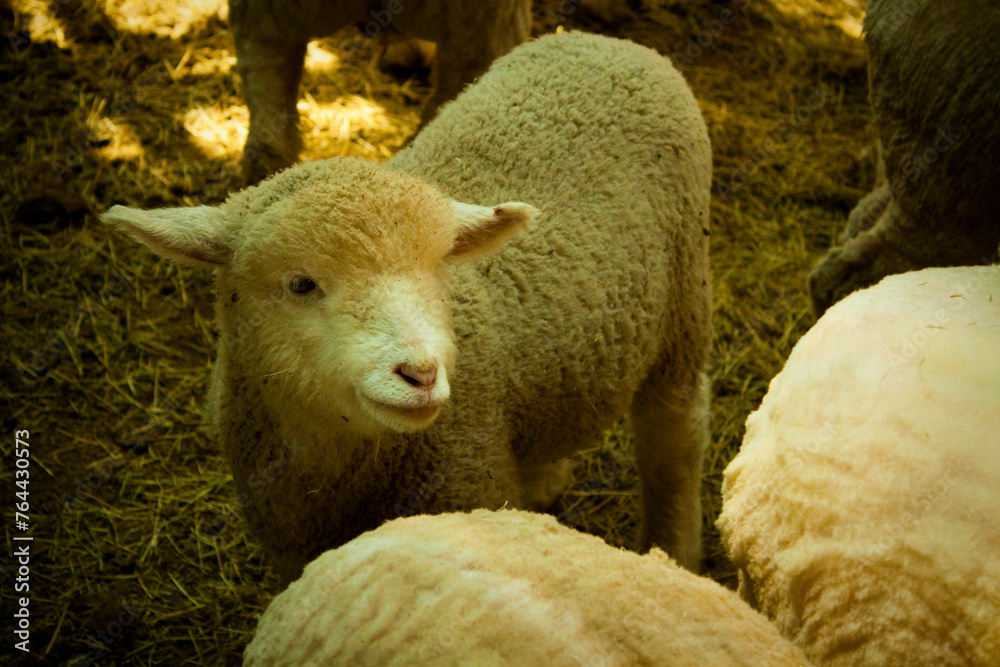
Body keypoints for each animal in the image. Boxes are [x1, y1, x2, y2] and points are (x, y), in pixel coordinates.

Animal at [102, 32, 714, 581]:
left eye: (437, 267)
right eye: (300, 284)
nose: (420, 374)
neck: (338, 463)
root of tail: (608, 42)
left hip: (685, 303)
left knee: (674, 439)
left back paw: (676, 549)